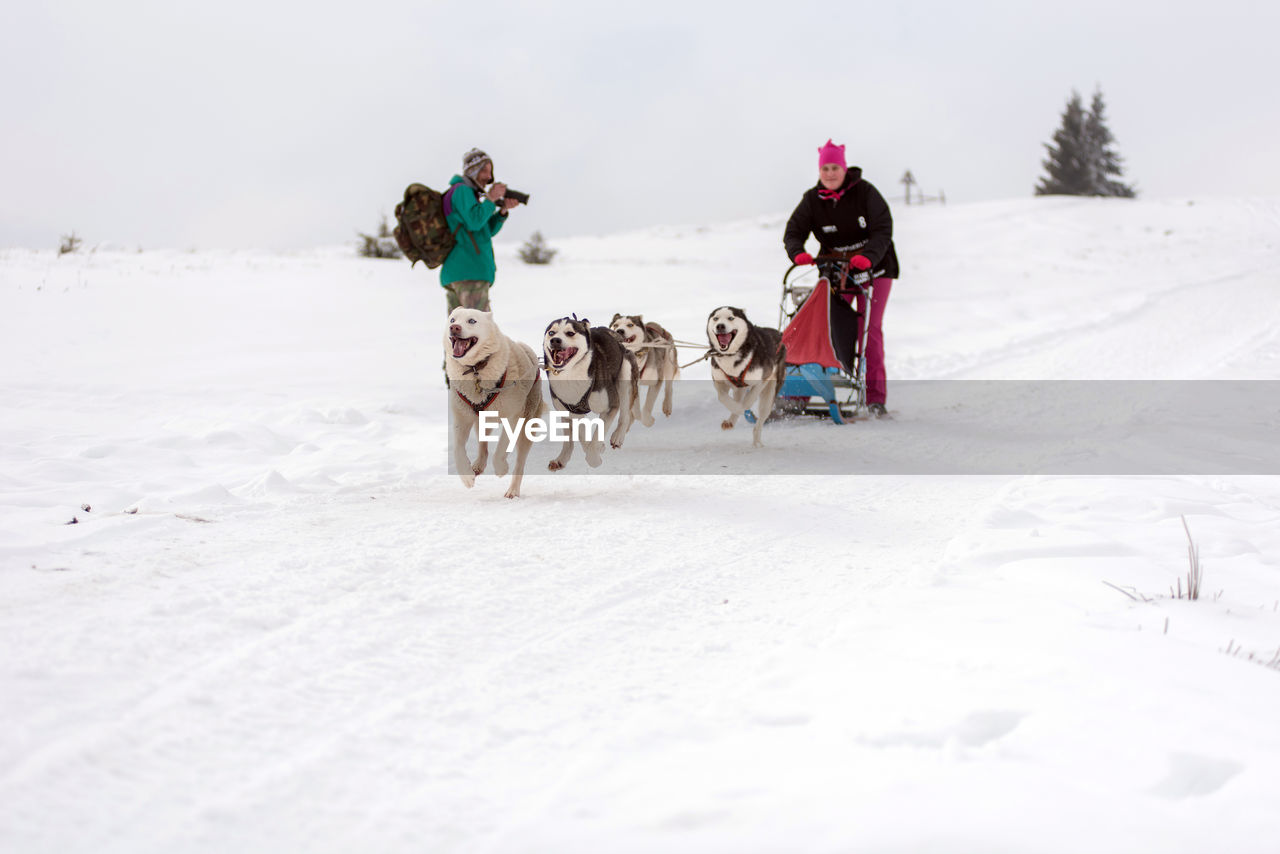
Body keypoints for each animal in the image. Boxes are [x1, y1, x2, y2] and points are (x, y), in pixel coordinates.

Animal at [445, 307, 545, 496]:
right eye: (452, 319)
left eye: (471, 321)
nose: (454, 328)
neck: (476, 370)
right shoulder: (462, 418)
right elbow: (457, 448)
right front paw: (466, 476)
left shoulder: (513, 417)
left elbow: (501, 448)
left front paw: (500, 468)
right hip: (481, 420)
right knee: (482, 445)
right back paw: (478, 465)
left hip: (526, 425)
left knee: (519, 463)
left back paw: (512, 490)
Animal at [542, 317, 637, 471]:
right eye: (551, 332)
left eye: (570, 333)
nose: (555, 340)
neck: (570, 375)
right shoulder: (570, 411)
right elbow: (580, 436)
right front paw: (597, 447)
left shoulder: (611, 405)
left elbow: (596, 438)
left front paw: (595, 458)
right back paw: (561, 459)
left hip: (625, 376)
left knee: (625, 414)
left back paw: (617, 436)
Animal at [706, 306, 783, 448]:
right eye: (716, 318)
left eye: (731, 318)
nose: (720, 326)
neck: (731, 355)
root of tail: (779, 333)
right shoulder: (719, 380)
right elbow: (722, 397)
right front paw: (736, 410)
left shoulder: (762, 379)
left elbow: (748, 400)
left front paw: (742, 408)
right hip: (739, 389)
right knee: (737, 398)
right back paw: (731, 421)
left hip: (769, 395)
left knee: (760, 420)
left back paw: (757, 441)